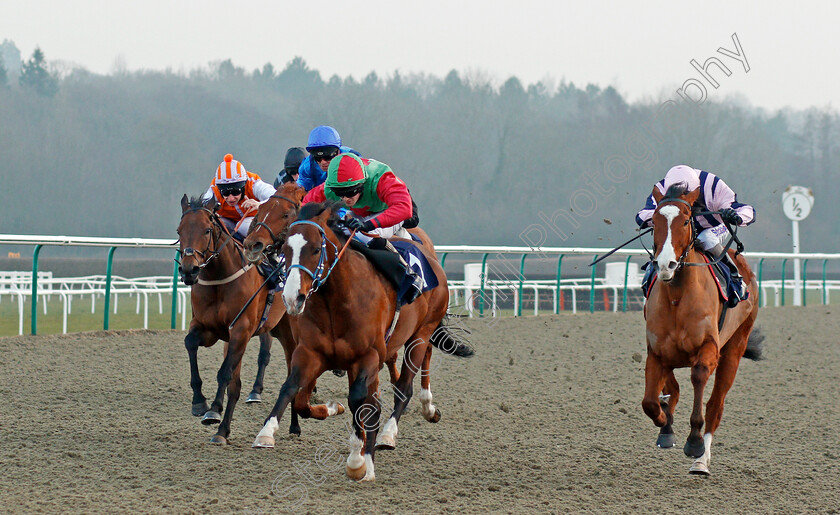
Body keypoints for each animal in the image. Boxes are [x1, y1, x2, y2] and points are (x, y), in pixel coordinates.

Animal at [179, 196, 310, 446]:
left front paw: (220, 425)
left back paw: (295, 425)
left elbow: (226, 375)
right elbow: (190, 344)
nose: (189, 270)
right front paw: (200, 403)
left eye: (207, 230)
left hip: (288, 333)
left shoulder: (241, 330)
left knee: (291, 370)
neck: (220, 280)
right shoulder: (207, 328)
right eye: (179, 230)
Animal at [253, 203, 460, 484]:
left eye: (315, 249)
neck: (337, 301)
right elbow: (292, 391)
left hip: (421, 334)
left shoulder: (368, 356)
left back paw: (389, 434)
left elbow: (359, 401)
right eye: (285, 249)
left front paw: (357, 460)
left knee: (404, 387)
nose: (292, 298)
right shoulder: (310, 353)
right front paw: (267, 431)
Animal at [644, 184, 760, 476]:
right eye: (655, 221)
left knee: (715, 405)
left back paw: (701, 462)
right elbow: (651, 401)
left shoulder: (708, 348)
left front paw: (694, 442)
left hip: (734, 348)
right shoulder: (657, 353)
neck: (677, 297)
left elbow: (698, 378)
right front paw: (665, 423)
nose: (666, 265)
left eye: (686, 220)